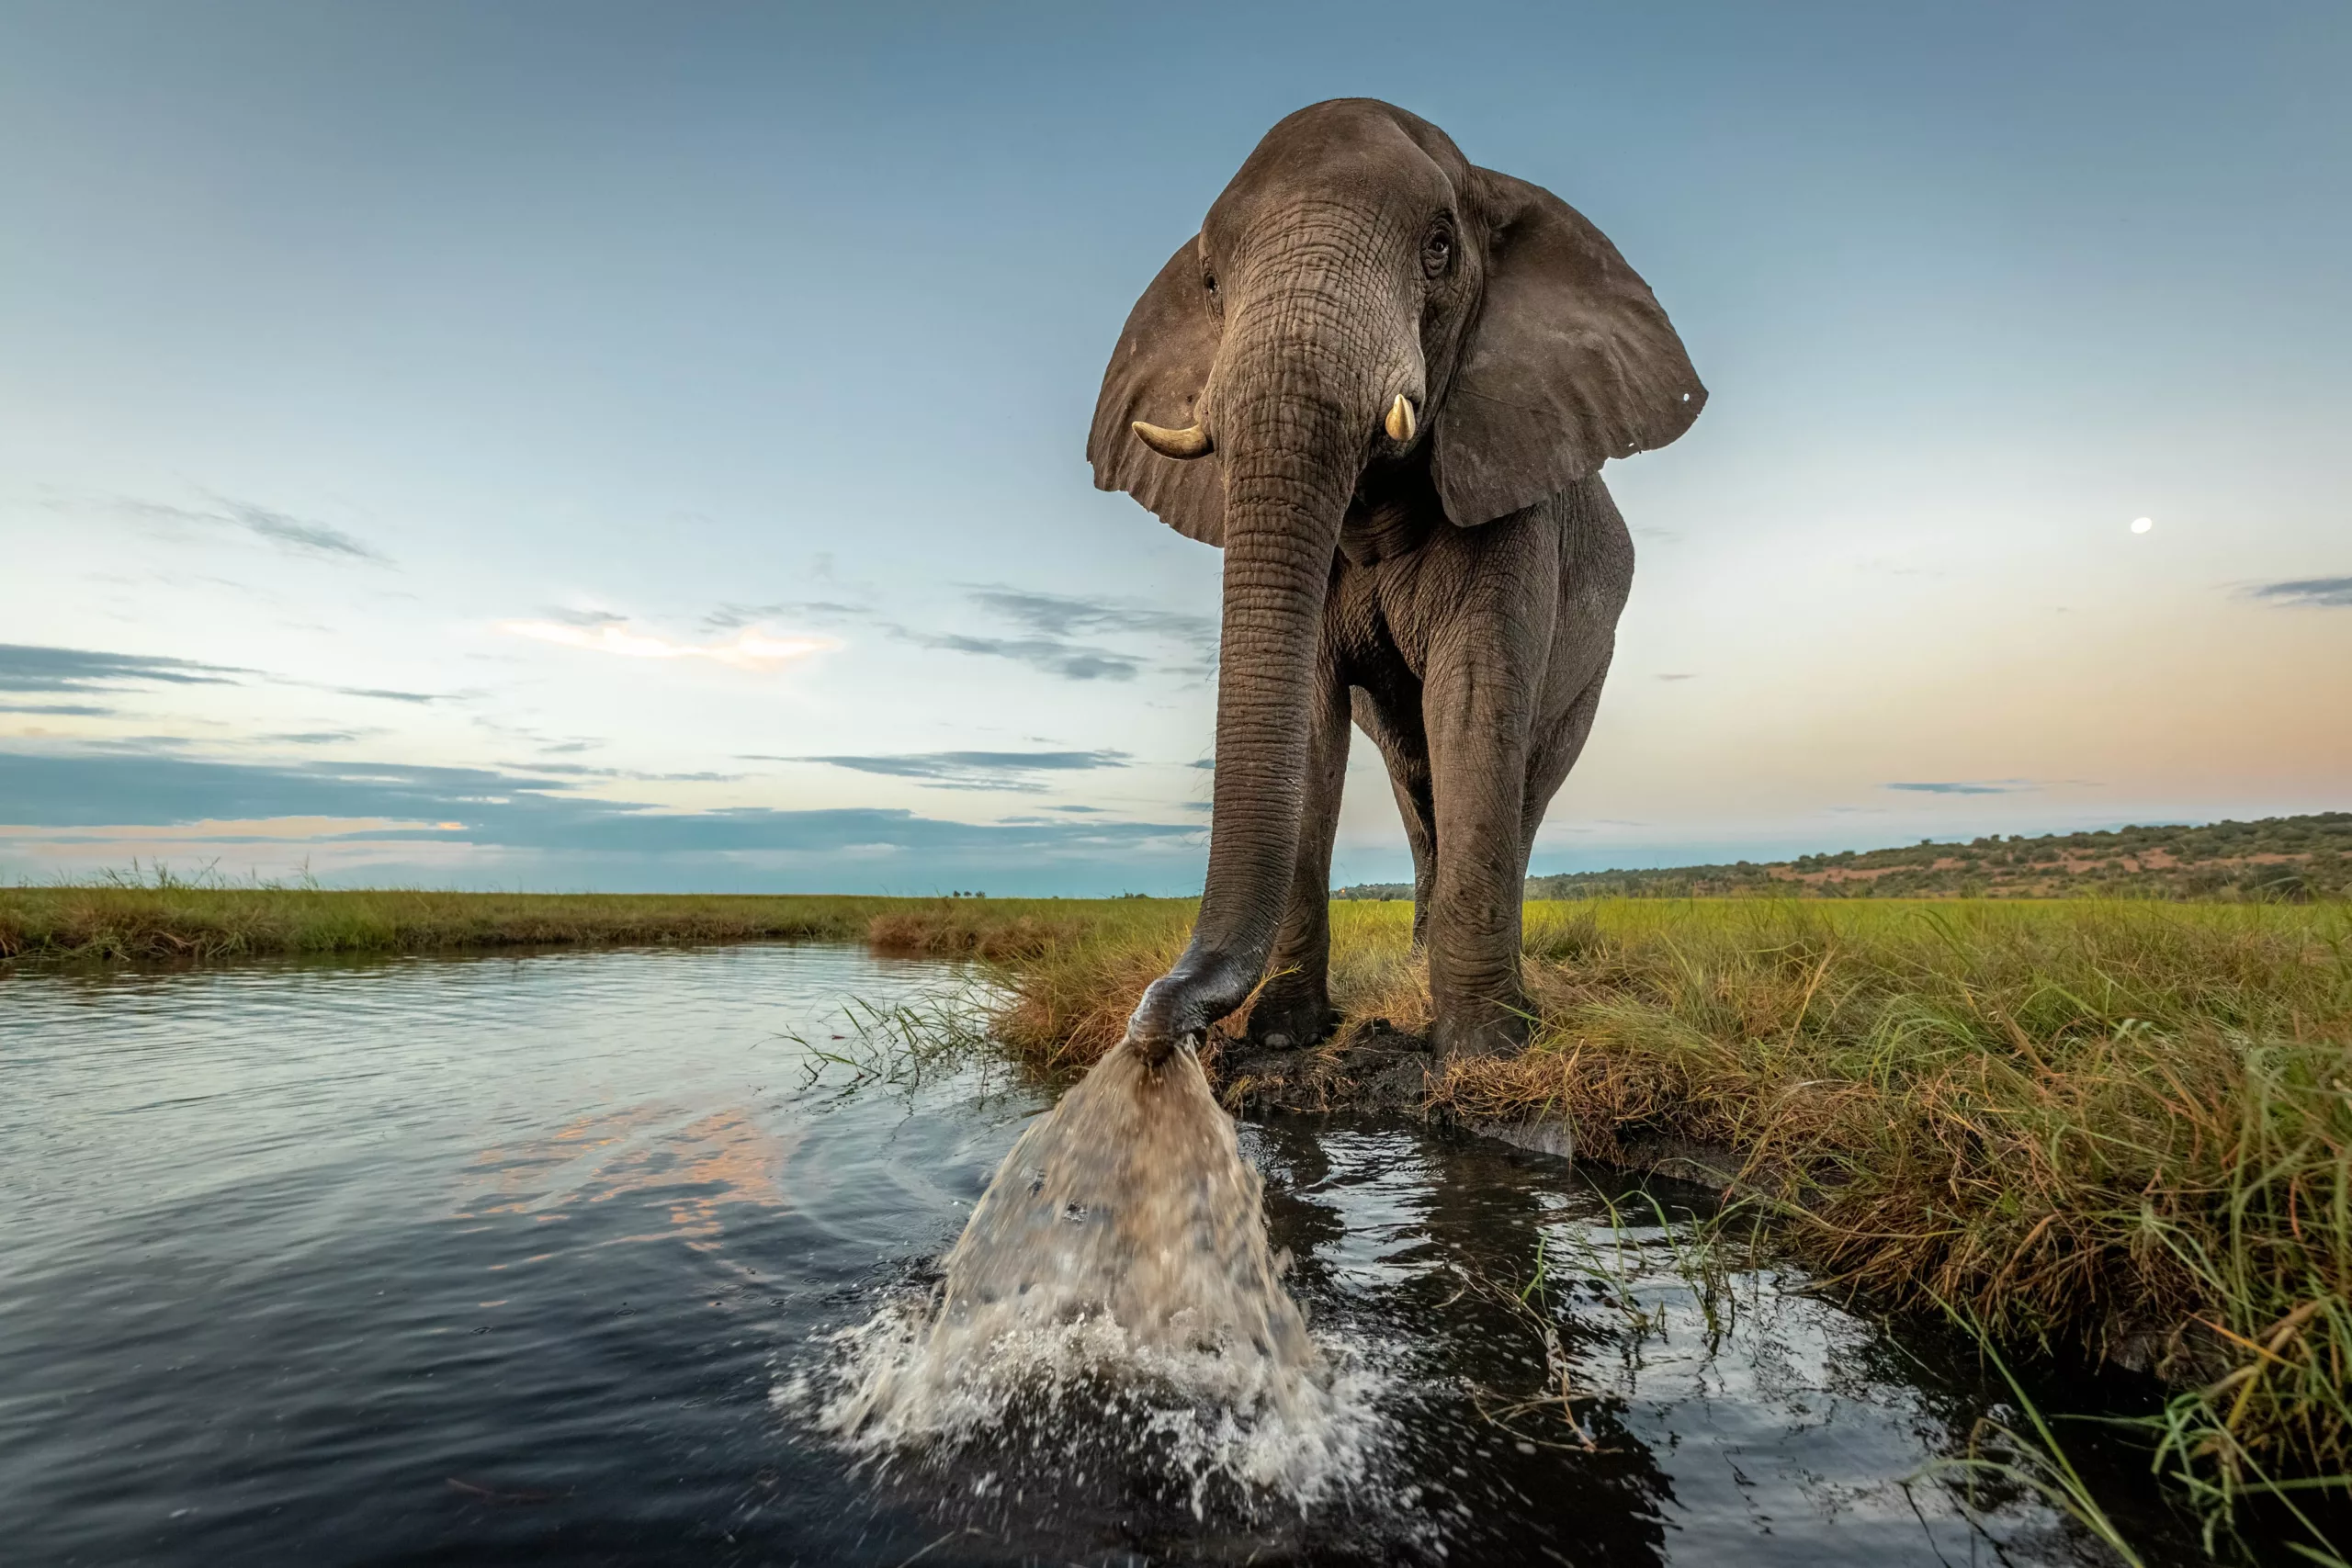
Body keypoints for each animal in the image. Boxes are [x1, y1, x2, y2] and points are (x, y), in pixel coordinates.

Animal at [1091, 101, 1702, 1066]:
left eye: (1440, 249)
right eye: (1212, 283)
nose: (1153, 1029)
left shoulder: (1513, 502)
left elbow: (1476, 703)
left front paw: (1487, 1047)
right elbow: (1311, 727)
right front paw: (1283, 1034)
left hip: (1592, 670)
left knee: (1519, 790)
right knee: (1419, 795)